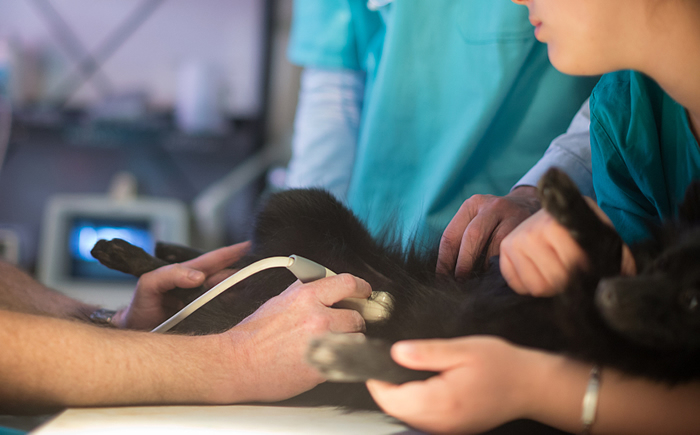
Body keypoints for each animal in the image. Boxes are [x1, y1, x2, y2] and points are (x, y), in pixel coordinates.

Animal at [90, 168, 700, 426]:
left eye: (694, 305)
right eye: (664, 268)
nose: (614, 293)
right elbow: (600, 245)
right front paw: (564, 208)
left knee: (212, 284)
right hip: (301, 204)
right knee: (214, 269)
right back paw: (139, 253)